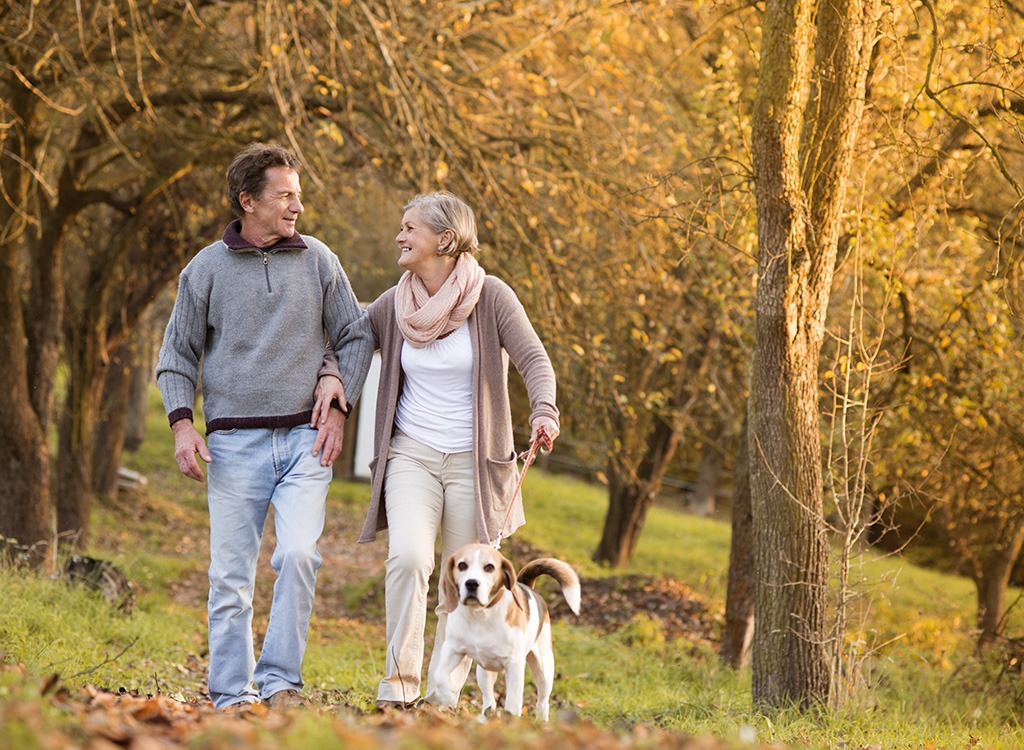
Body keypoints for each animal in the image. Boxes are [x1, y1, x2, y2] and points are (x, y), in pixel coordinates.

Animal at [428, 540, 581, 721]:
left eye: (489, 567)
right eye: (462, 565)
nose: (471, 583)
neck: (479, 615)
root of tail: (527, 587)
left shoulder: (514, 665)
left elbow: (513, 704)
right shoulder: (453, 649)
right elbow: (439, 675)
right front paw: (447, 696)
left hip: (544, 668)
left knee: (543, 701)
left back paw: (541, 721)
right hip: (483, 672)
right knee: (489, 699)